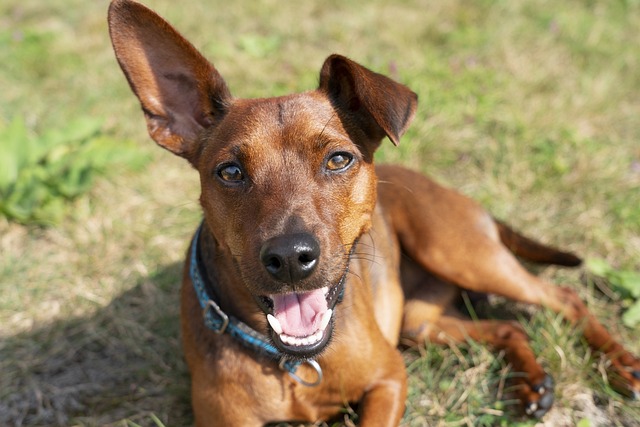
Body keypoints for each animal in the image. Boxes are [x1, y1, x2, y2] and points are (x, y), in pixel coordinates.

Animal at [107, 1, 636, 426]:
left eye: (339, 159)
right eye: (231, 172)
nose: (290, 258)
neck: (294, 361)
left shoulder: (389, 378)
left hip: (460, 254)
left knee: (564, 297)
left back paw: (620, 365)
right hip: (418, 322)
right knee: (507, 325)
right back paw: (531, 383)